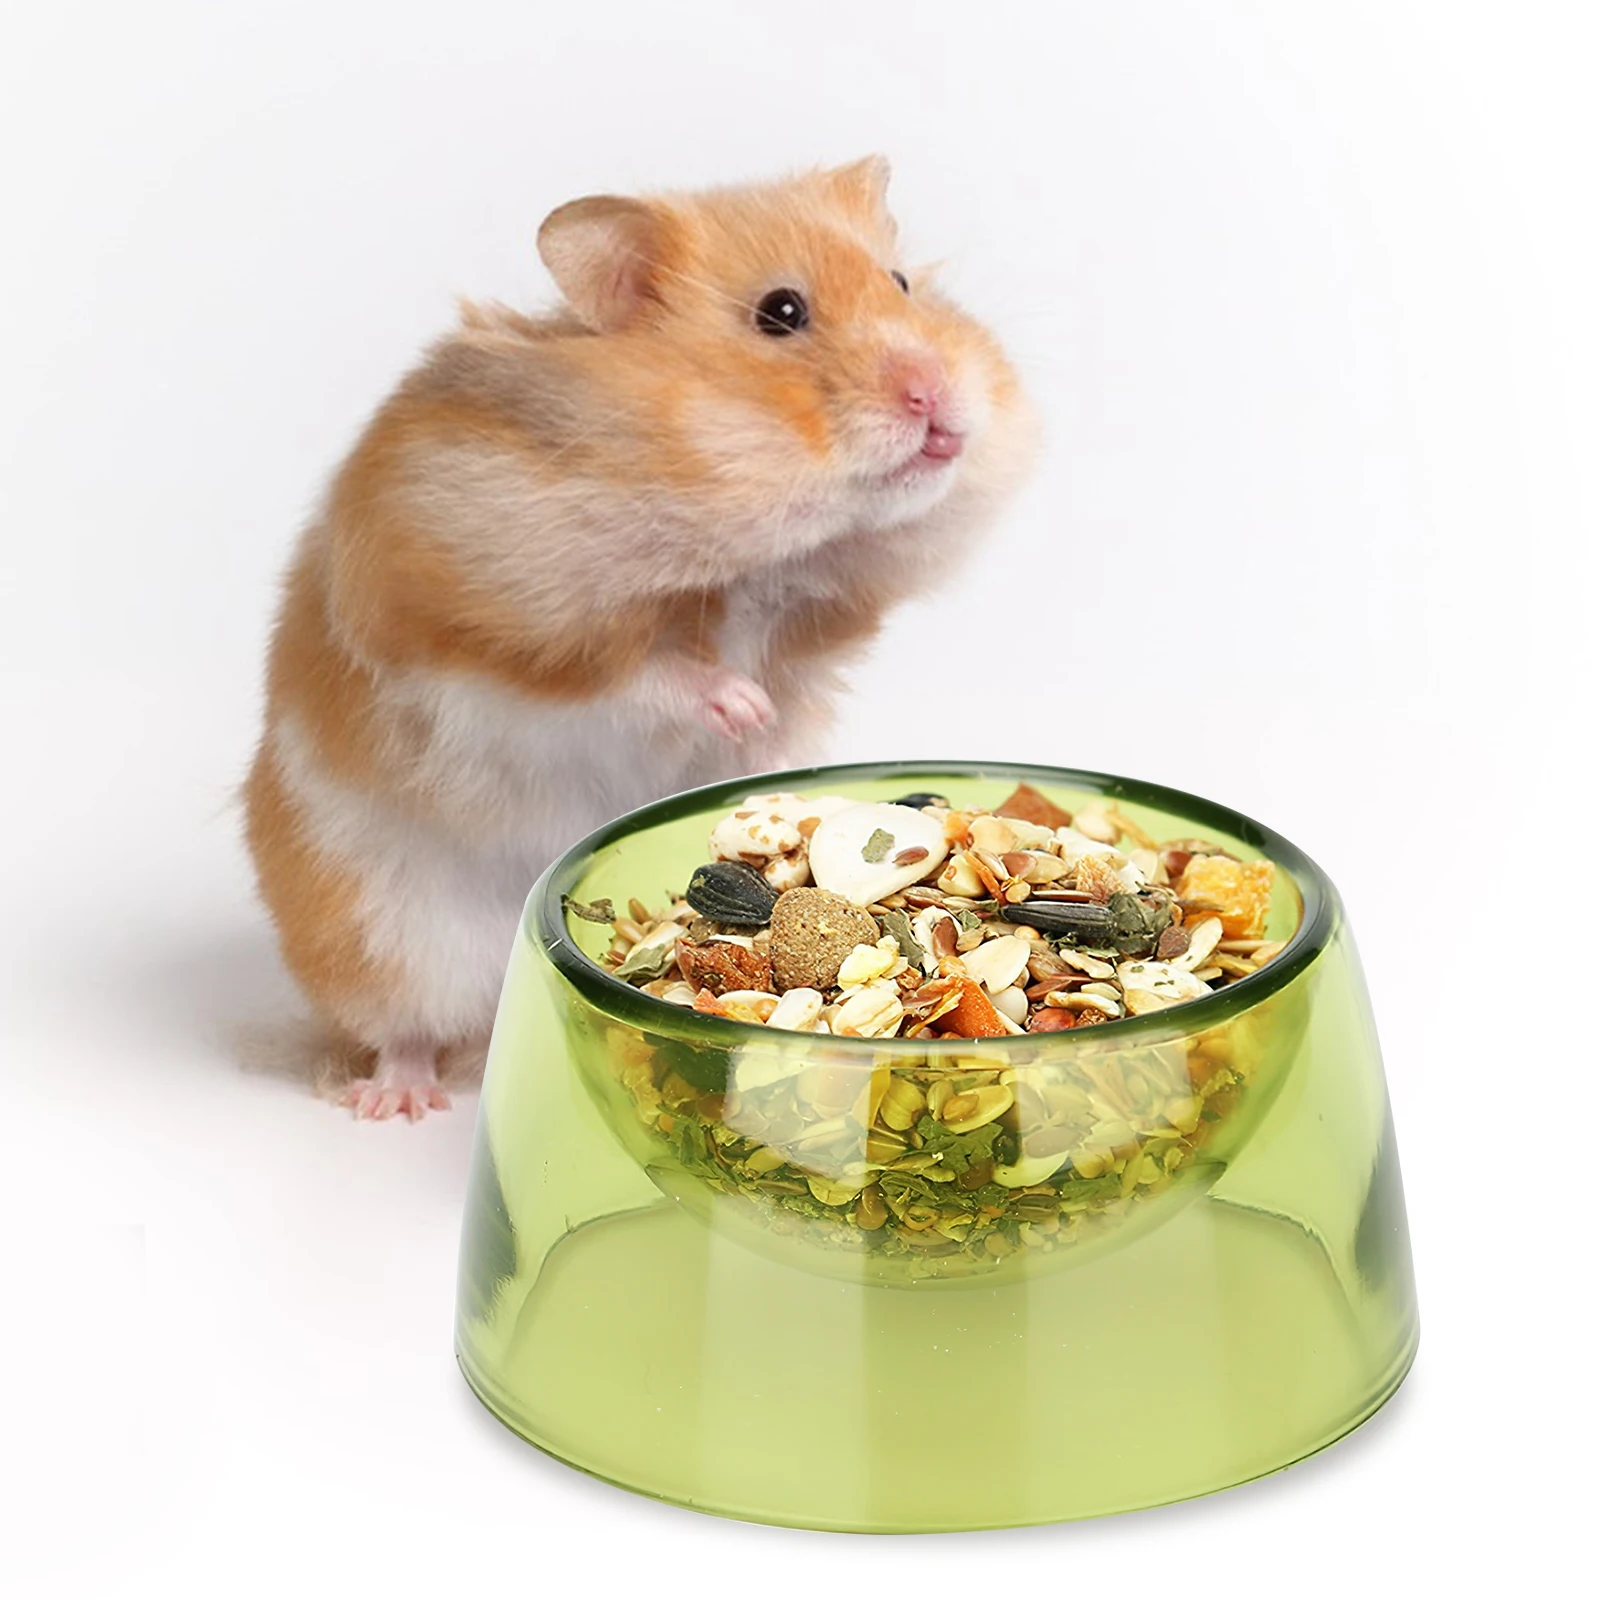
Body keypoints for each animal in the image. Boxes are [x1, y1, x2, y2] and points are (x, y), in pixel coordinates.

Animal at [244, 157, 1036, 1120]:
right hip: (383, 931)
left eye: (903, 283)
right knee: (405, 1029)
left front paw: (775, 762)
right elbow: (639, 675)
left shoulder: (809, 629)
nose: (940, 398)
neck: (755, 556)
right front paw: (738, 705)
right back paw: (398, 1100)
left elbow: (779, 687)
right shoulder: (485, 622)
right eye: (780, 312)